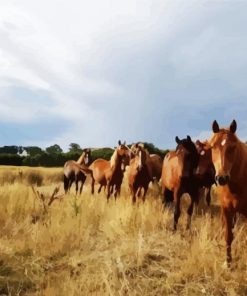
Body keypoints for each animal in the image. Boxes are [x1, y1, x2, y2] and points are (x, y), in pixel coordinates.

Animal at [208, 120, 247, 266]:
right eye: (213, 147)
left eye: (232, 147)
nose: (222, 178)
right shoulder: (226, 209)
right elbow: (228, 236)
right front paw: (228, 263)